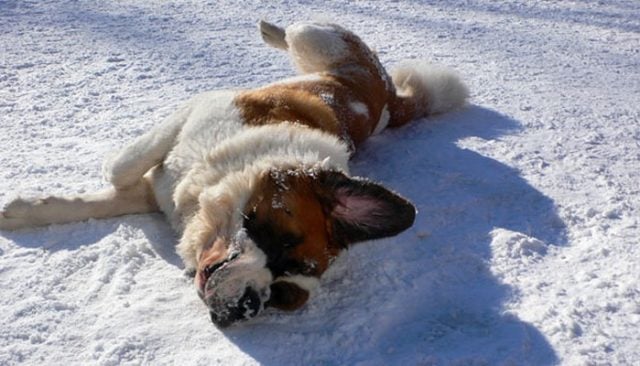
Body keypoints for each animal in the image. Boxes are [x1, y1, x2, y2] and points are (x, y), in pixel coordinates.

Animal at [1, 21, 470, 328]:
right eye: (282, 240)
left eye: (281, 296)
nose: (248, 304)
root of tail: (390, 95)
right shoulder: (201, 108)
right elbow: (121, 169)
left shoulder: (162, 192)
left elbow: (107, 196)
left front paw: (21, 211)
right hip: (315, 33)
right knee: (295, 34)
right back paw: (270, 30)